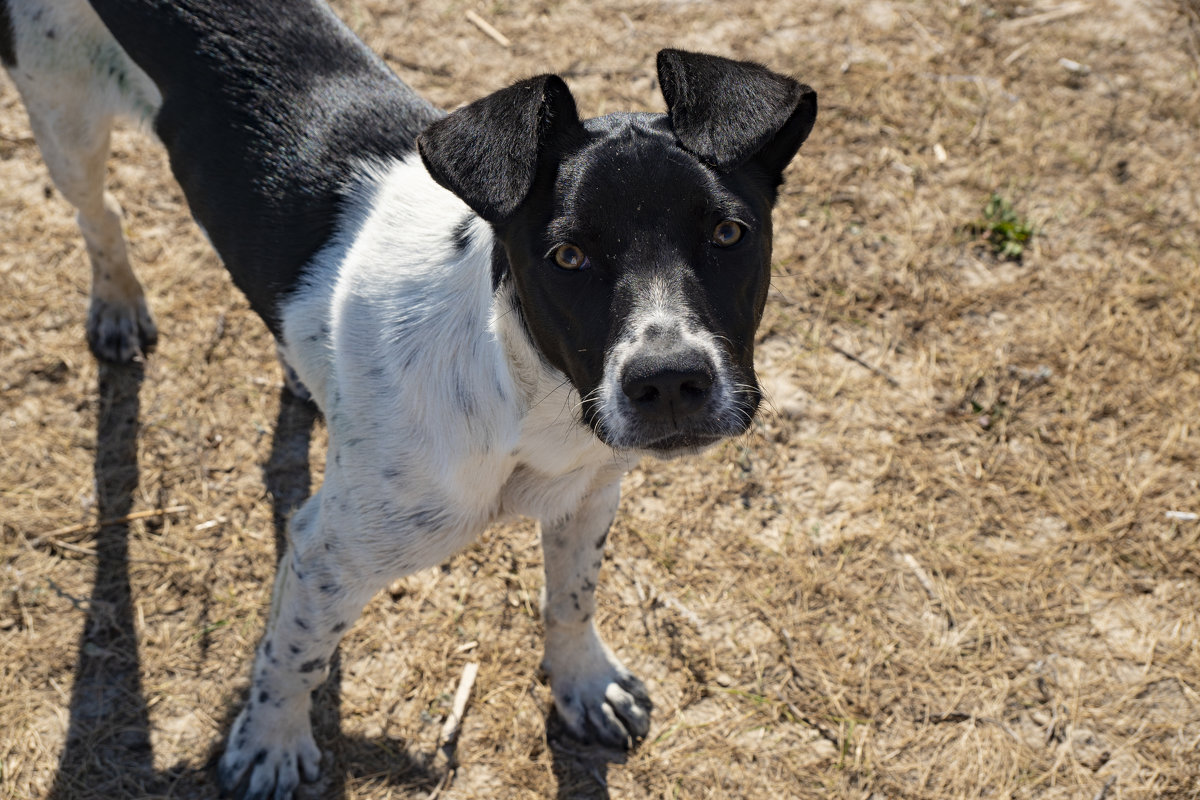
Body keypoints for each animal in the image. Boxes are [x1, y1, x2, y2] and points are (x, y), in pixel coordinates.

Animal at [0, 0, 816, 796]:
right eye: (567, 256)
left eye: (729, 232)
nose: (670, 381)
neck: (526, 396)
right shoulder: (326, 552)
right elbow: (292, 655)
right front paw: (269, 746)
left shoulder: (589, 493)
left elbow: (572, 596)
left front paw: (583, 683)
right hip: (64, 117)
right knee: (99, 213)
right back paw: (117, 303)